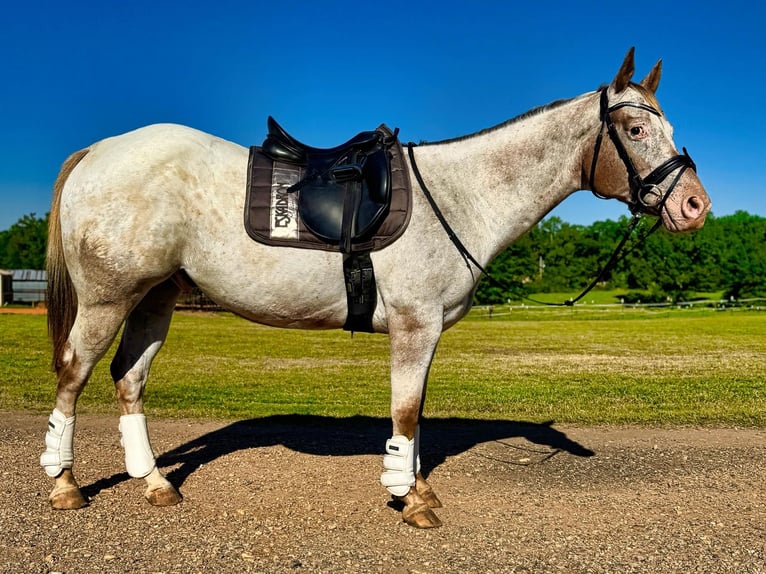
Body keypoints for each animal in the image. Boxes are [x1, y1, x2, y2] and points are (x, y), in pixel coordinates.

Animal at [40, 49, 712, 532]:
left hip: (155, 297)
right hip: (108, 298)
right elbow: (406, 410)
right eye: (633, 127)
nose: (694, 206)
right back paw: (65, 485)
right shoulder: (415, 325)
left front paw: (416, 484)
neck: (462, 194)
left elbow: (416, 412)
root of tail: (99, 150)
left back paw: (154, 483)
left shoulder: (428, 329)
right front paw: (409, 500)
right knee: (74, 373)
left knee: (128, 378)